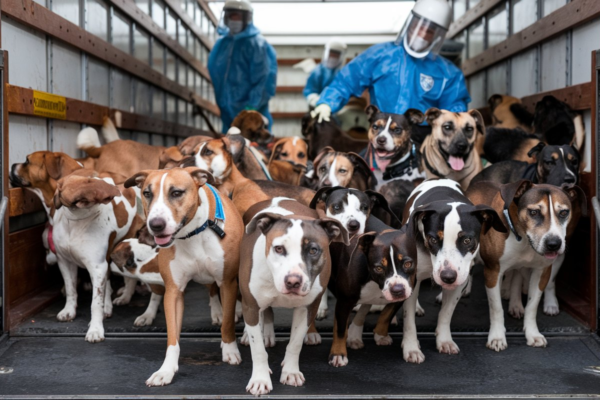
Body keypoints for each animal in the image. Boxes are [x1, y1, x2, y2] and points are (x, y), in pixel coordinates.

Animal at [124, 166, 244, 384]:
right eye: (147, 193)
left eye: (176, 193)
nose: (156, 225)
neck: (193, 233)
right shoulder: (174, 290)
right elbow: (172, 337)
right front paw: (166, 370)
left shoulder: (227, 282)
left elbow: (228, 322)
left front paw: (230, 349)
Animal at [237, 197, 346, 394]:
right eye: (279, 248)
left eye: (313, 250)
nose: (293, 281)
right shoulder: (251, 305)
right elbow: (258, 349)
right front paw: (260, 379)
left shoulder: (307, 308)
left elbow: (295, 343)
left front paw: (290, 372)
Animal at [398, 179, 506, 362]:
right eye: (433, 239)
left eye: (467, 240)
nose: (447, 276)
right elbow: (409, 320)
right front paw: (411, 347)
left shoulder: (459, 281)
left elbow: (446, 313)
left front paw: (444, 340)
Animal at [468, 180, 584, 352]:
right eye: (534, 212)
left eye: (563, 213)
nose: (554, 244)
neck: (522, 237)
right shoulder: (493, 271)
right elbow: (496, 308)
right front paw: (497, 337)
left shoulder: (542, 272)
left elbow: (532, 305)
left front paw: (532, 334)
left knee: (516, 277)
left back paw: (515, 304)